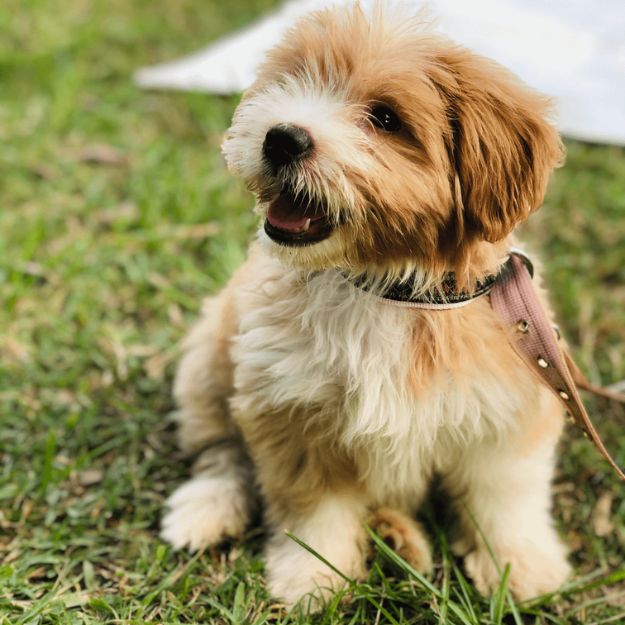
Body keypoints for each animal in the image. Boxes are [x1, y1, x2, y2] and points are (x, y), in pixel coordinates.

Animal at [162, 2, 572, 608]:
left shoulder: (509, 409)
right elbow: (315, 509)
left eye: (384, 118)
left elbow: (505, 497)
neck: (387, 289)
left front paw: (519, 565)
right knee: (220, 450)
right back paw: (206, 509)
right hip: (209, 364)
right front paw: (312, 576)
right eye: (293, 81)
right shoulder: (291, 411)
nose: (281, 138)